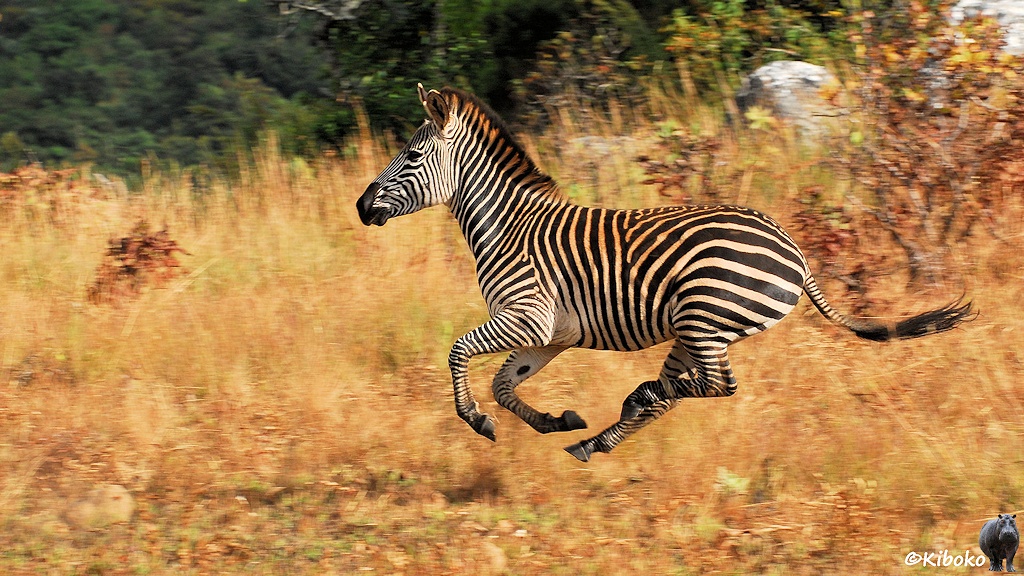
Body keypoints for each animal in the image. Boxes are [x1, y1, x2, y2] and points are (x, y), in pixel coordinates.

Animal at [356, 84, 975, 462]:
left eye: (413, 157)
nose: (361, 208)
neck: (510, 226)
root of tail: (794, 250)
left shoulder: (528, 317)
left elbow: (459, 352)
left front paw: (476, 422)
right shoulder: (552, 334)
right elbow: (505, 384)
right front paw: (554, 422)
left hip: (704, 317)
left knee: (710, 386)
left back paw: (639, 397)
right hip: (693, 329)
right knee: (686, 390)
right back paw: (592, 442)